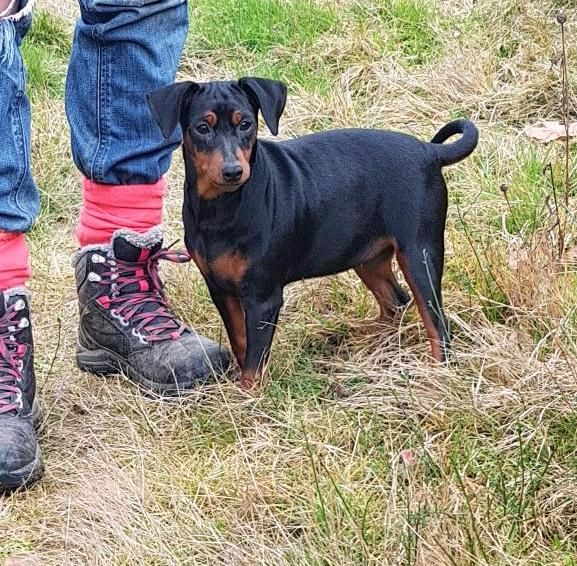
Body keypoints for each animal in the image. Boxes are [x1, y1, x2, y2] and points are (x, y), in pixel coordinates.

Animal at [147, 76, 476, 390]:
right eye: (202, 128)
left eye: (246, 124)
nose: (232, 171)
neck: (221, 206)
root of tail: (428, 151)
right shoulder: (221, 289)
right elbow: (241, 343)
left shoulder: (263, 297)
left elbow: (255, 358)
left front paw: (249, 397)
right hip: (366, 255)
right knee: (395, 301)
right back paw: (368, 343)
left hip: (419, 252)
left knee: (436, 324)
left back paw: (435, 374)